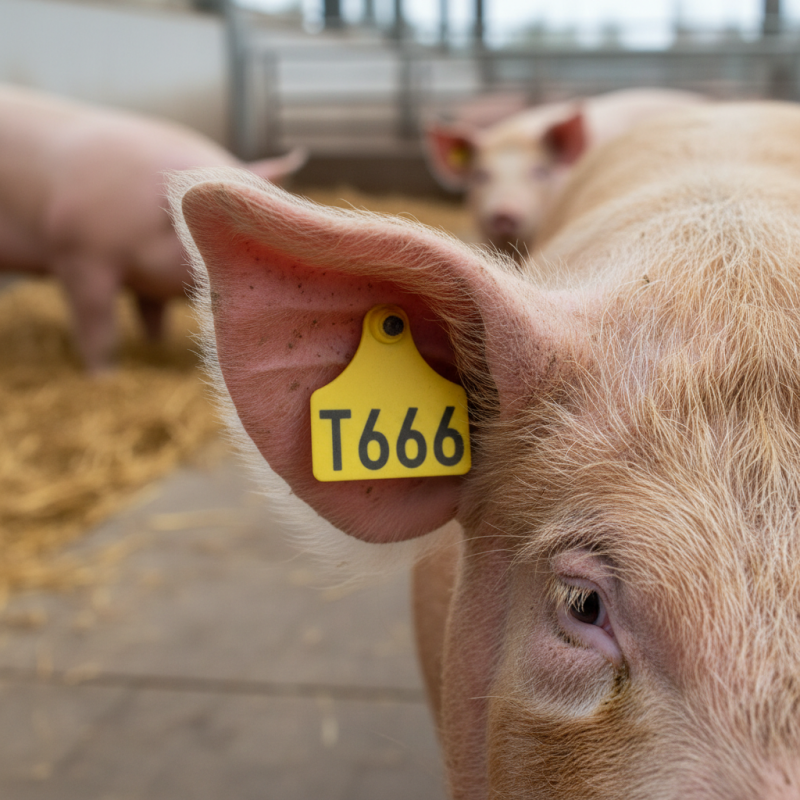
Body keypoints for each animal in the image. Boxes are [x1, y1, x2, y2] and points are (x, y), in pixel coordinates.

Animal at [0, 84, 305, 372]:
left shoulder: (147, 280)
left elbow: (152, 317)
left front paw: (157, 348)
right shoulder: (80, 256)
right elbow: (98, 326)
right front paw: (105, 374)